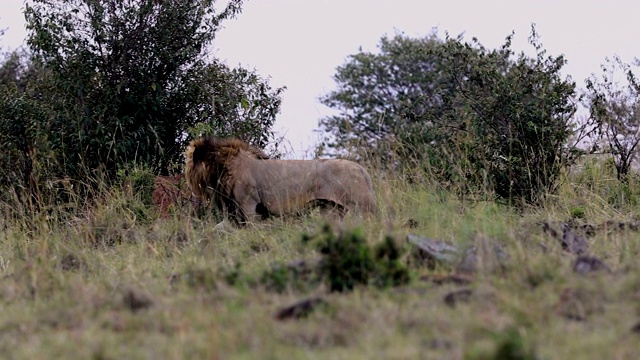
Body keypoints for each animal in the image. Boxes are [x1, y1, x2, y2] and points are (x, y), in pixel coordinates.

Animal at [184, 136, 376, 229]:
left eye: (189, 162)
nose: (187, 179)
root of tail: (362, 170)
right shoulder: (234, 212)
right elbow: (217, 229)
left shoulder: (248, 205)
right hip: (332, 208)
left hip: (360, 207)